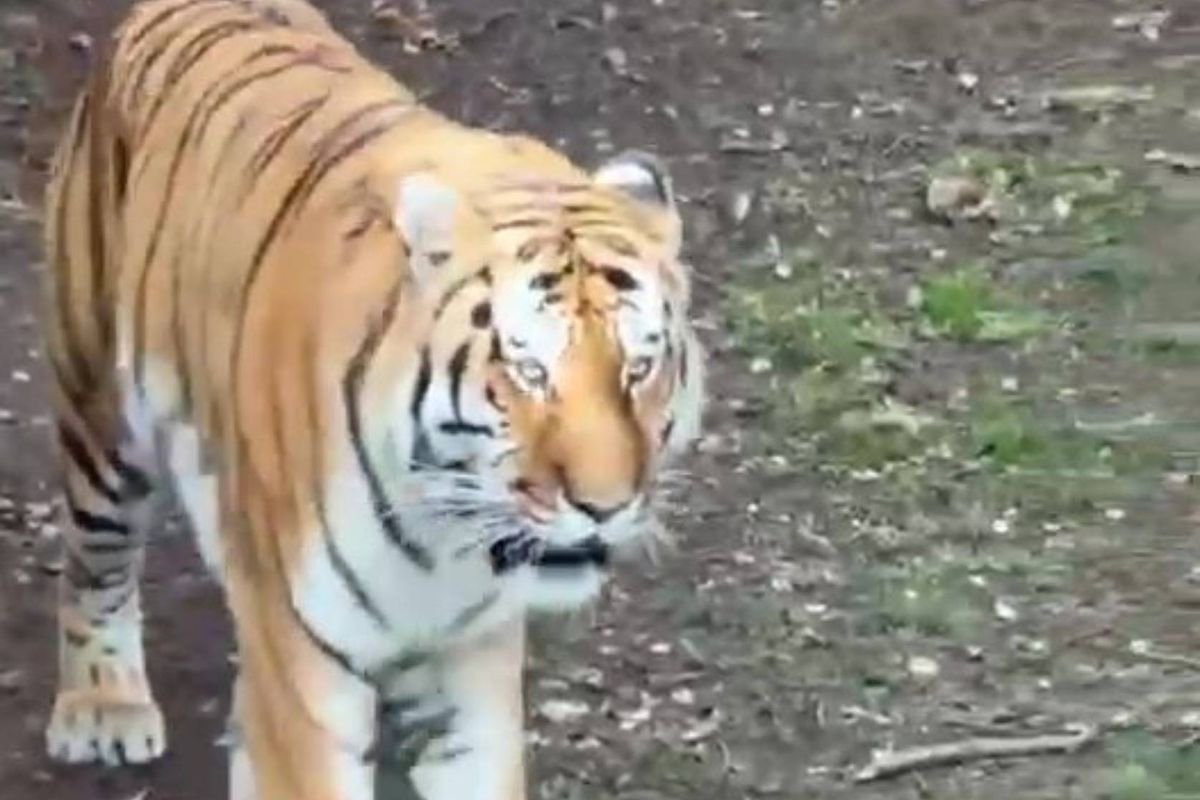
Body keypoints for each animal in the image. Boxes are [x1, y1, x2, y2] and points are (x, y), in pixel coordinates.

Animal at [37, 0, 705, 797]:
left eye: (639, 367)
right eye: (528, 370)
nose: (603, 508)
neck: (443, 538)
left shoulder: (471, 665)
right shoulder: (301, 662)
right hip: (101, 414)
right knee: (95, 564)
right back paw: (104, 705)